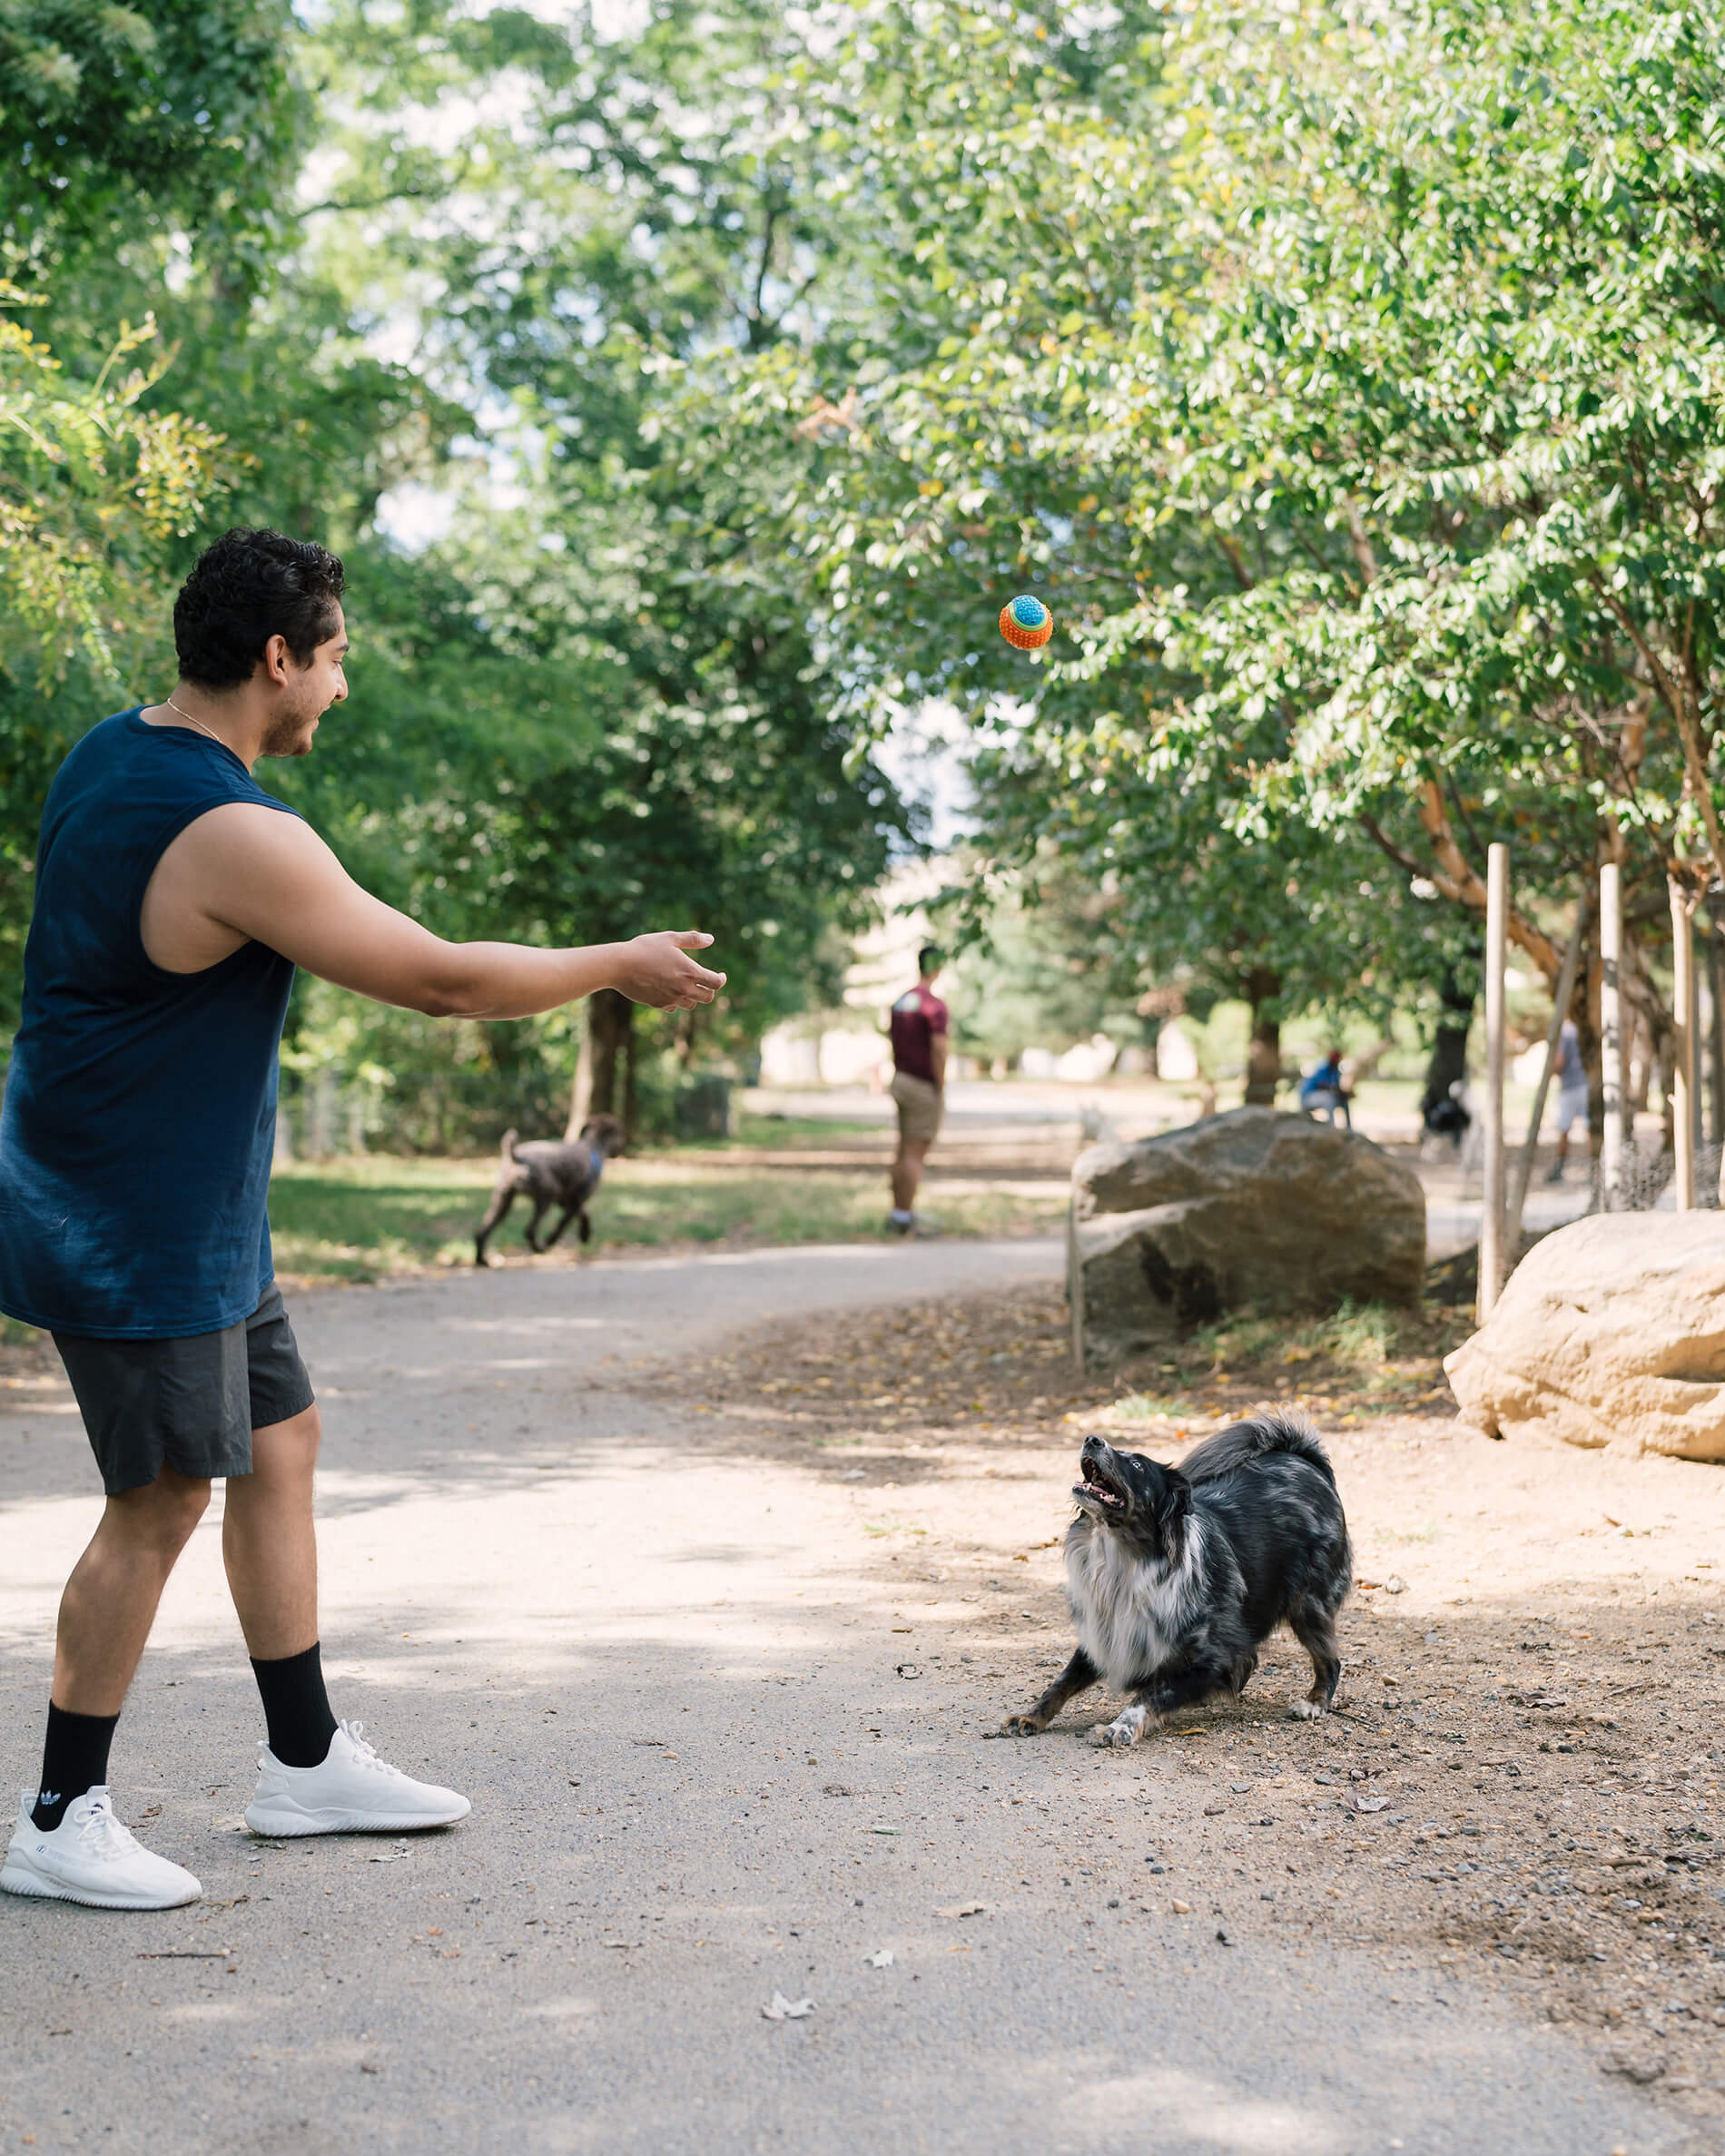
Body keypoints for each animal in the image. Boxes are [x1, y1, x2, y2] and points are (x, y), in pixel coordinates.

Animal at [472, 1112, 625, 1259]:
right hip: (546, 1197)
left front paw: (585, 1235)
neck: (593, 1146)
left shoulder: (567, 1201)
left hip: (502, 1201)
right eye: (618, 1132)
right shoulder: (576, 1201)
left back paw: (481, 1259)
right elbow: (562, 1224)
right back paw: (540, 1247)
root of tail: (516, 1157)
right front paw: (551, 1240)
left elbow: (585, 1214)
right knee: (529, 1230)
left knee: (481, 1232)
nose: (624, 1141)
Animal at [1004, 1414, 1354, 1750]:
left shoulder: (1217, 1658)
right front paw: (1030, 1716)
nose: (1092, 1439)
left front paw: (1119, 1727)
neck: (1125, 1562)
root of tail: (1303, 1459)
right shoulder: (1103, 1635)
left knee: (1330, 1661)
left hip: (1308, 1606)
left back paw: (1314, 1703)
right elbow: (1061, 1681)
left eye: (1138, 1465)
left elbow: (1149, 1695)